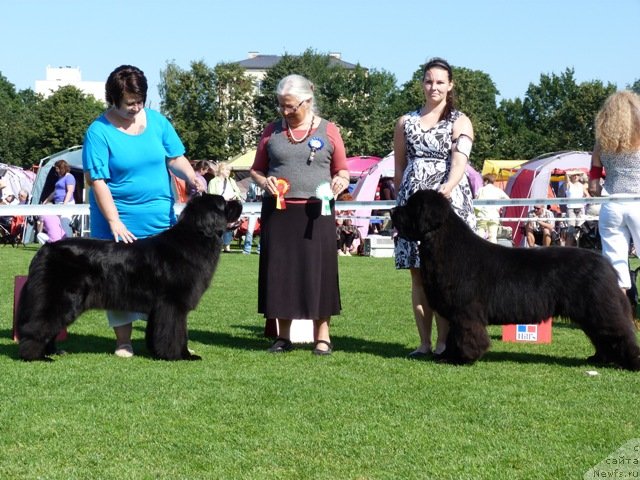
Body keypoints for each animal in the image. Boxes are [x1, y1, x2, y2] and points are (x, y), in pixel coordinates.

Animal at [18, 193, 242, 362]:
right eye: (224, 204)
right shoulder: (173, 304)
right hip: (62, 298)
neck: (196, 237)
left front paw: (158, 352)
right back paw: (35, 356)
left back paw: (52, 351)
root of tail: (46, 249)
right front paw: (180, 355)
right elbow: (176, 333)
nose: (239, 201)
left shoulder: (160, 308)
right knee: (37, 325)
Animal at [390, 189, 640, 370]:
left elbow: (465, 334)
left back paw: (632, 363)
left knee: (620, 332)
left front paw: (461, 358)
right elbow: (453, 336)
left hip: (600, 308)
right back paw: (599, 359)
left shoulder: (464, 311)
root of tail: (605, 264)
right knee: (602, 336)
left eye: (411, 207)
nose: (391, 211)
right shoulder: (455, 311)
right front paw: (449, 355)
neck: (444, 244)